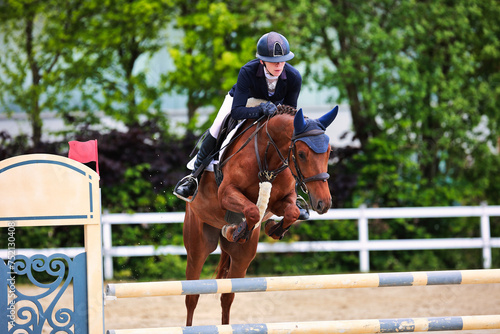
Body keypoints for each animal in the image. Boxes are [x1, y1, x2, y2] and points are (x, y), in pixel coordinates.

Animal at [182, 105, 338, 326]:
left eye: (329, 152)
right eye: (301, 154)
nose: (323, 203)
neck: (268, 156)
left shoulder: (281, 201)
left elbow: (292, 211)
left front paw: (272, 229)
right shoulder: (226, 193)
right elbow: (253, 211)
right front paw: (240, 230)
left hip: (242, 256)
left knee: (227, 296)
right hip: (198, 244)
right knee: (192, 296)